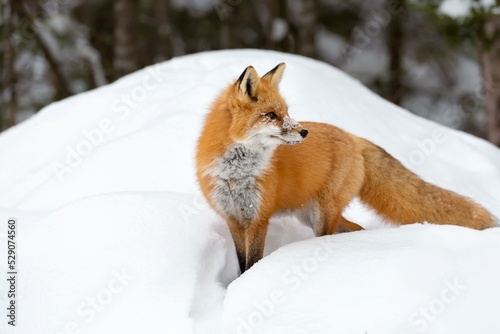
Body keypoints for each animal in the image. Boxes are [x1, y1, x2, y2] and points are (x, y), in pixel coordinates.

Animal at [194, 63, 496, 274]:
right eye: (271, 115)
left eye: (287, 112)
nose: (304, 132)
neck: (237, 174)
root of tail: (354, 137)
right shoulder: (234, 218)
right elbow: (241, 261)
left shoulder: (258, 218)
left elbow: (252, 263)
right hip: (312, 216)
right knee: (357, 228)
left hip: (321, 216)